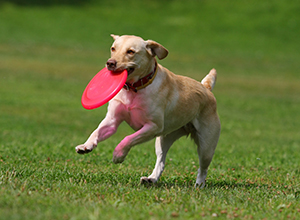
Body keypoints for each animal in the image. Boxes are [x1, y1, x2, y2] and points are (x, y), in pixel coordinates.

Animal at [75, 34, 220, 187]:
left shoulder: (153, 127)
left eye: (130, 51)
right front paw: (86, 146)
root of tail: (206, 88)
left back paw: (199, 185)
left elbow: (128, 139)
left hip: (206, 146)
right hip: (164, 139)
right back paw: (151, 179)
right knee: (161, 161)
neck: (135, 88)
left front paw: (118, 154)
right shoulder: (112, 121)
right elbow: (96, 131)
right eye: (113, 48)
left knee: (203, 167)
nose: (110, 63)